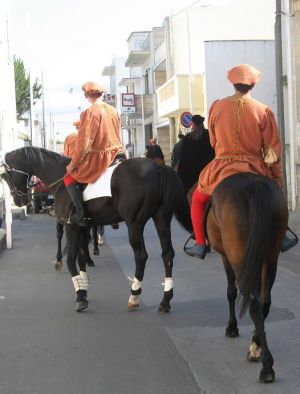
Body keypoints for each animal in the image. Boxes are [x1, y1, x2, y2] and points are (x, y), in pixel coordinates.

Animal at [1, 146, 192, 312]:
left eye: (5, 175)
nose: (19, 201)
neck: (60, 178)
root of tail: (158, 168)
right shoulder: (82, 227)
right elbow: (81, 257)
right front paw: (84, 288)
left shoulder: (71, 226)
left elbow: (71, 259)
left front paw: (80, 295)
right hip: (162, 219)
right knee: (167, 254)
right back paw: (165, 300)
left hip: (134, 223)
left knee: (141, 256)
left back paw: (134, 296)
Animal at [199, 172, 288, 382]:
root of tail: (253, 184)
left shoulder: (226, 256)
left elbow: (231, 291)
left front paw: (232, 327)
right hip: (270, 256)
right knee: (264, 302)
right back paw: (256, 348)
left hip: (238, 254)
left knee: (253, 303)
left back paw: (266, 367)